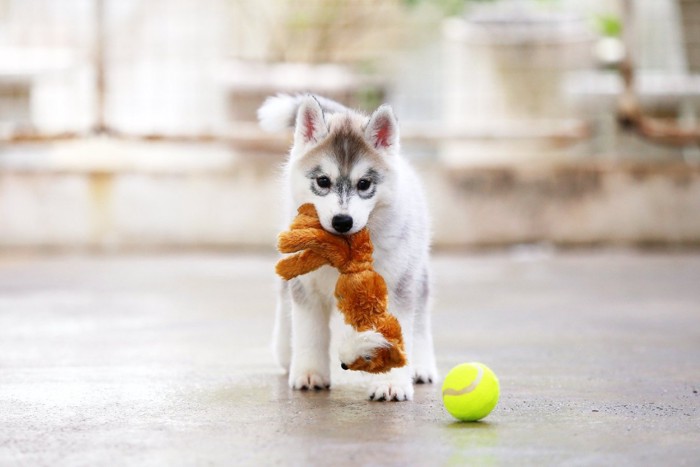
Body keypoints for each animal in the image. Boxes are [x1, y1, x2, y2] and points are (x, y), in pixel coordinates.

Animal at [258, 94, 434, 402]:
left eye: (364, 184)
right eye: (322, 181)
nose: (342, 221)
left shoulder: (394, 287)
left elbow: (396, 333)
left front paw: (391, 382)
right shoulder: (307, 288)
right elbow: (309, 333)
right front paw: (309, 374)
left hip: (414, 271)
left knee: (421, 316)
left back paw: (422, 365)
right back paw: (286, 352)